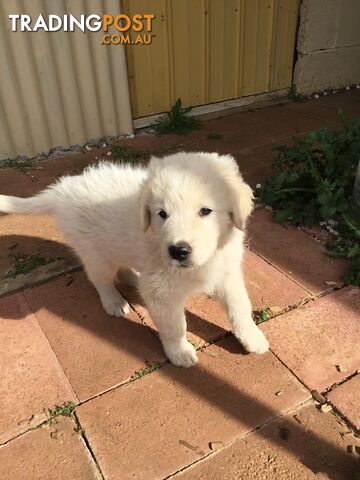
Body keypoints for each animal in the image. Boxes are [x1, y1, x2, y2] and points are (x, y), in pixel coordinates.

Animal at [0, 152, 268, 366]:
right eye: (162, 214)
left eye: (205, 211)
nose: (178, 251)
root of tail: (63, 189)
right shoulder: (162, 293)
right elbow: (175, 326)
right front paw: (179, 353)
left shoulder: (227, 273)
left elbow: (240, 307)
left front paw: (252, 338)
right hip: (96, 253)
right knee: (101, 279)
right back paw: (114, 302)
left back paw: (133, 278)